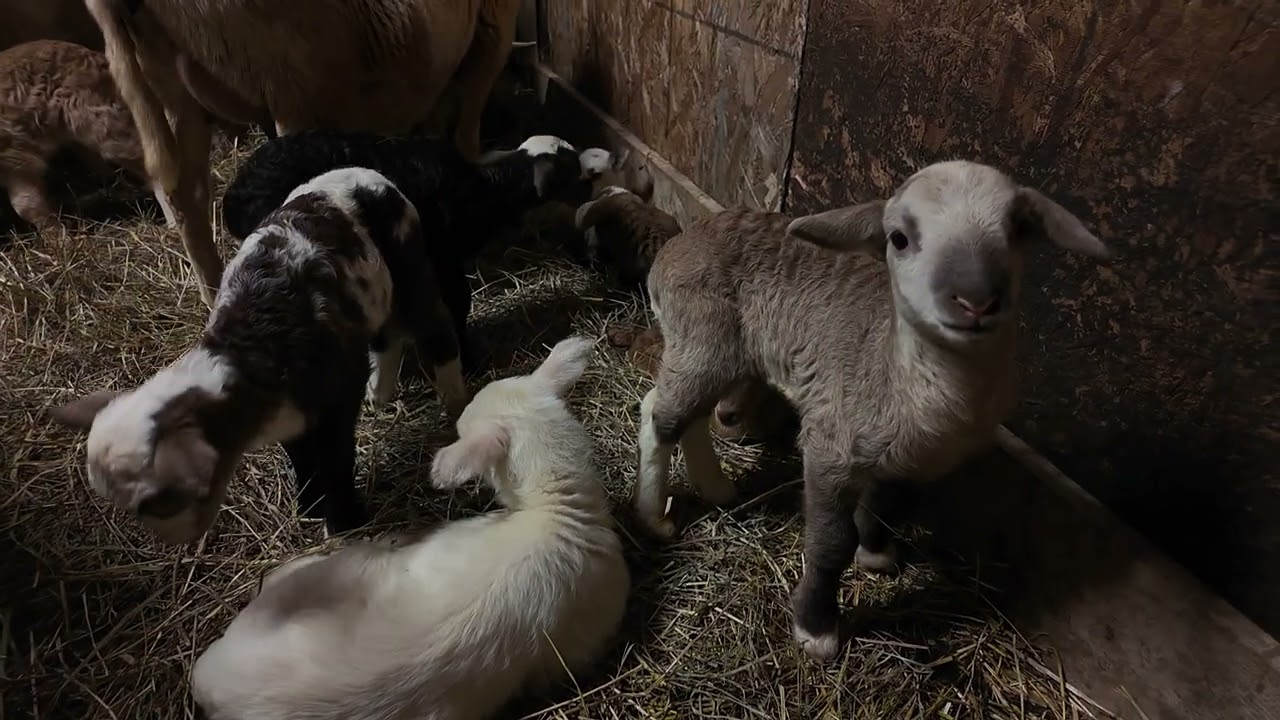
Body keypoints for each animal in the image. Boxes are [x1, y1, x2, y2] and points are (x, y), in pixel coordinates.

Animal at [0, 39, 177, 230]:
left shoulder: (15, 155)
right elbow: (27, 204)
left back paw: (173, 223)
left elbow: (27, 204)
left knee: (152, 162)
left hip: (102, 123)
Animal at [48, 167, 469, 545]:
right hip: (372, 292)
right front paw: (309, 505)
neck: (241, 353)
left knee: (435, 328)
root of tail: (372, 175)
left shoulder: (335, 399)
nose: (178, 542)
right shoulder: (291, 414)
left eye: (159, 502)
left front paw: (344, 523)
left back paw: (455, 401)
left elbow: (336, 460)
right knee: (384, 336)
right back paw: (379, 393)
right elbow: (301, 455)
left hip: (408, 260)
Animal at [84, 0, 533, 308]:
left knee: (182, 195)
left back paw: (213, 295)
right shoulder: (494, 23)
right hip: (287, 71)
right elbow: (468, 124)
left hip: (168, 81)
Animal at [222, 130, 622, 373]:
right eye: (572, 170)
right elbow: (459, 301)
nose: (589, 192)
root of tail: (235, 194)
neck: (485, 192)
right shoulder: (444, 255)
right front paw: (468, 358)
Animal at [631, 160, 1112, 661]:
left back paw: (718, 488)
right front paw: (817, 627)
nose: (976, 299)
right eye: (898, 238)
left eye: (1018, 229)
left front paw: (878, 554)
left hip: (720, 350)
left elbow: (885, 505)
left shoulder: (909, 461)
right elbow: (830, 543)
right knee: (660, 415)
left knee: (688, 414)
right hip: (702, 332)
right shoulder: (829, 446)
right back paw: (653, 517)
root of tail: (683, 240)